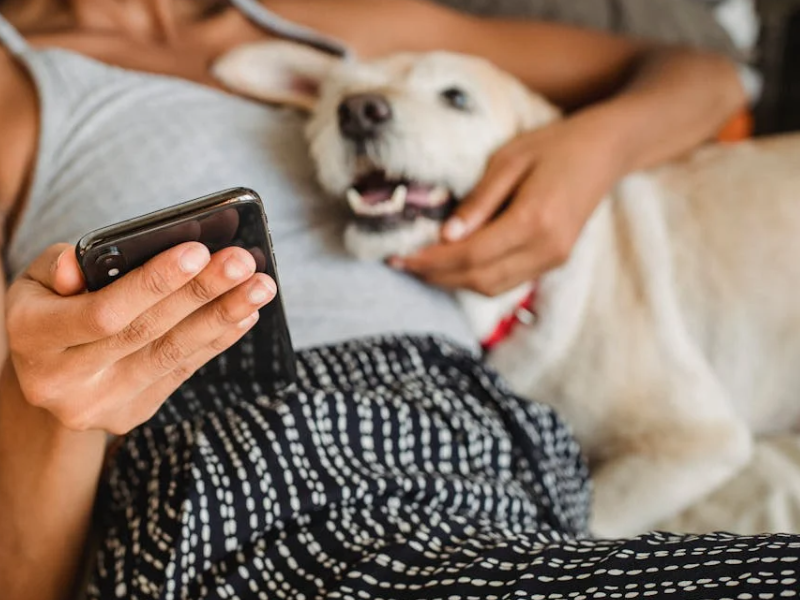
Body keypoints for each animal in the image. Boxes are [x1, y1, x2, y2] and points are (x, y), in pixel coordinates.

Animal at [211, 43, 800, 540]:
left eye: (455, 97)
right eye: (338, 95)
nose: (356, 111)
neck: (516, 303)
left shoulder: (696, 439)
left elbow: (594, 523)